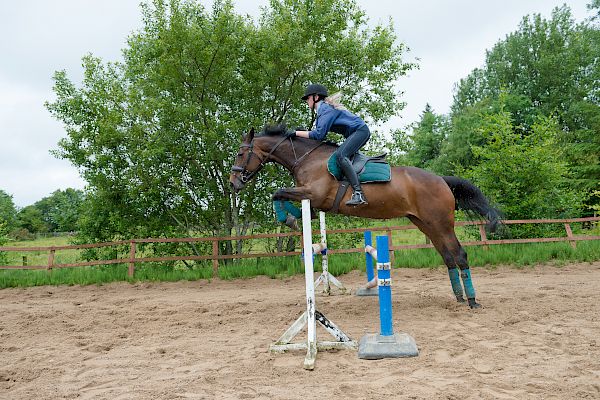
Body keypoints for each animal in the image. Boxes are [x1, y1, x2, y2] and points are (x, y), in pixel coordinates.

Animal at [230, 126, 502, 308]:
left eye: (240, 154)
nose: (234, 183)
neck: (307, 159)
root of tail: (442, 180)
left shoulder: (313, 194)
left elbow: (277, 193)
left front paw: (288, 219)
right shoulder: (312, 201)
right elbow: (283, 197)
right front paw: (292, 218)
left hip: (441, 224)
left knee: (459, 254)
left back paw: (472, 301)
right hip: (426, 225)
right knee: (447, 256)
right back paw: (459, 297)